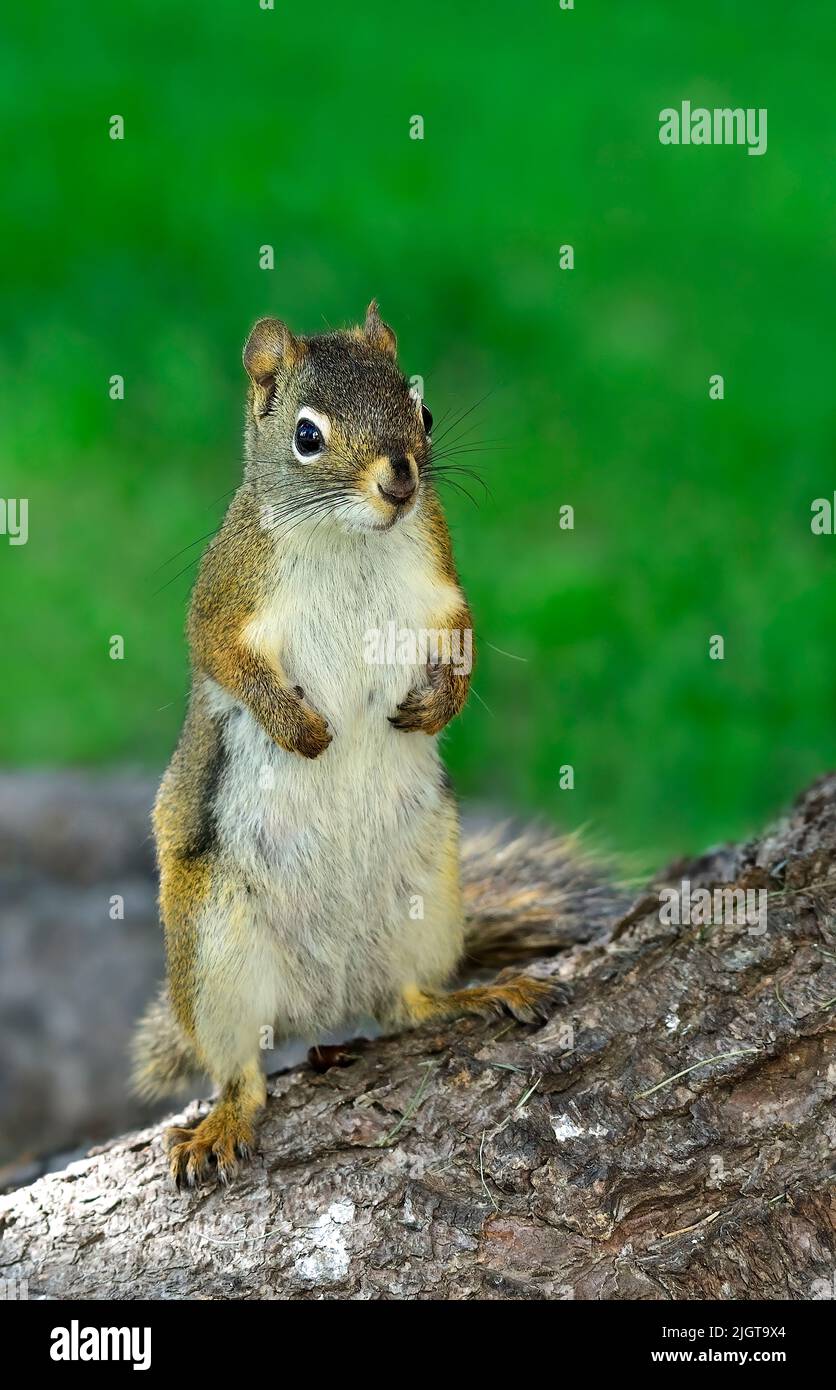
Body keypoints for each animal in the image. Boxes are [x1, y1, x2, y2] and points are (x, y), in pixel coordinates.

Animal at [133, 302, 556, 1188]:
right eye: (305, 436)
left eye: (422, 413)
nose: (400, 481)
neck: (351, 537)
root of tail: (323, 1002)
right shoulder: (228, 590)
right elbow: (219, 655)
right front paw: (300, 728)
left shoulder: (438, 576)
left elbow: (464, 632)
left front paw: (439, 703)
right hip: (216, 954)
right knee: (240, 1068)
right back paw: (223, 1120)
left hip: (428, 905)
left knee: (406, 1005)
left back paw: (473, 996)